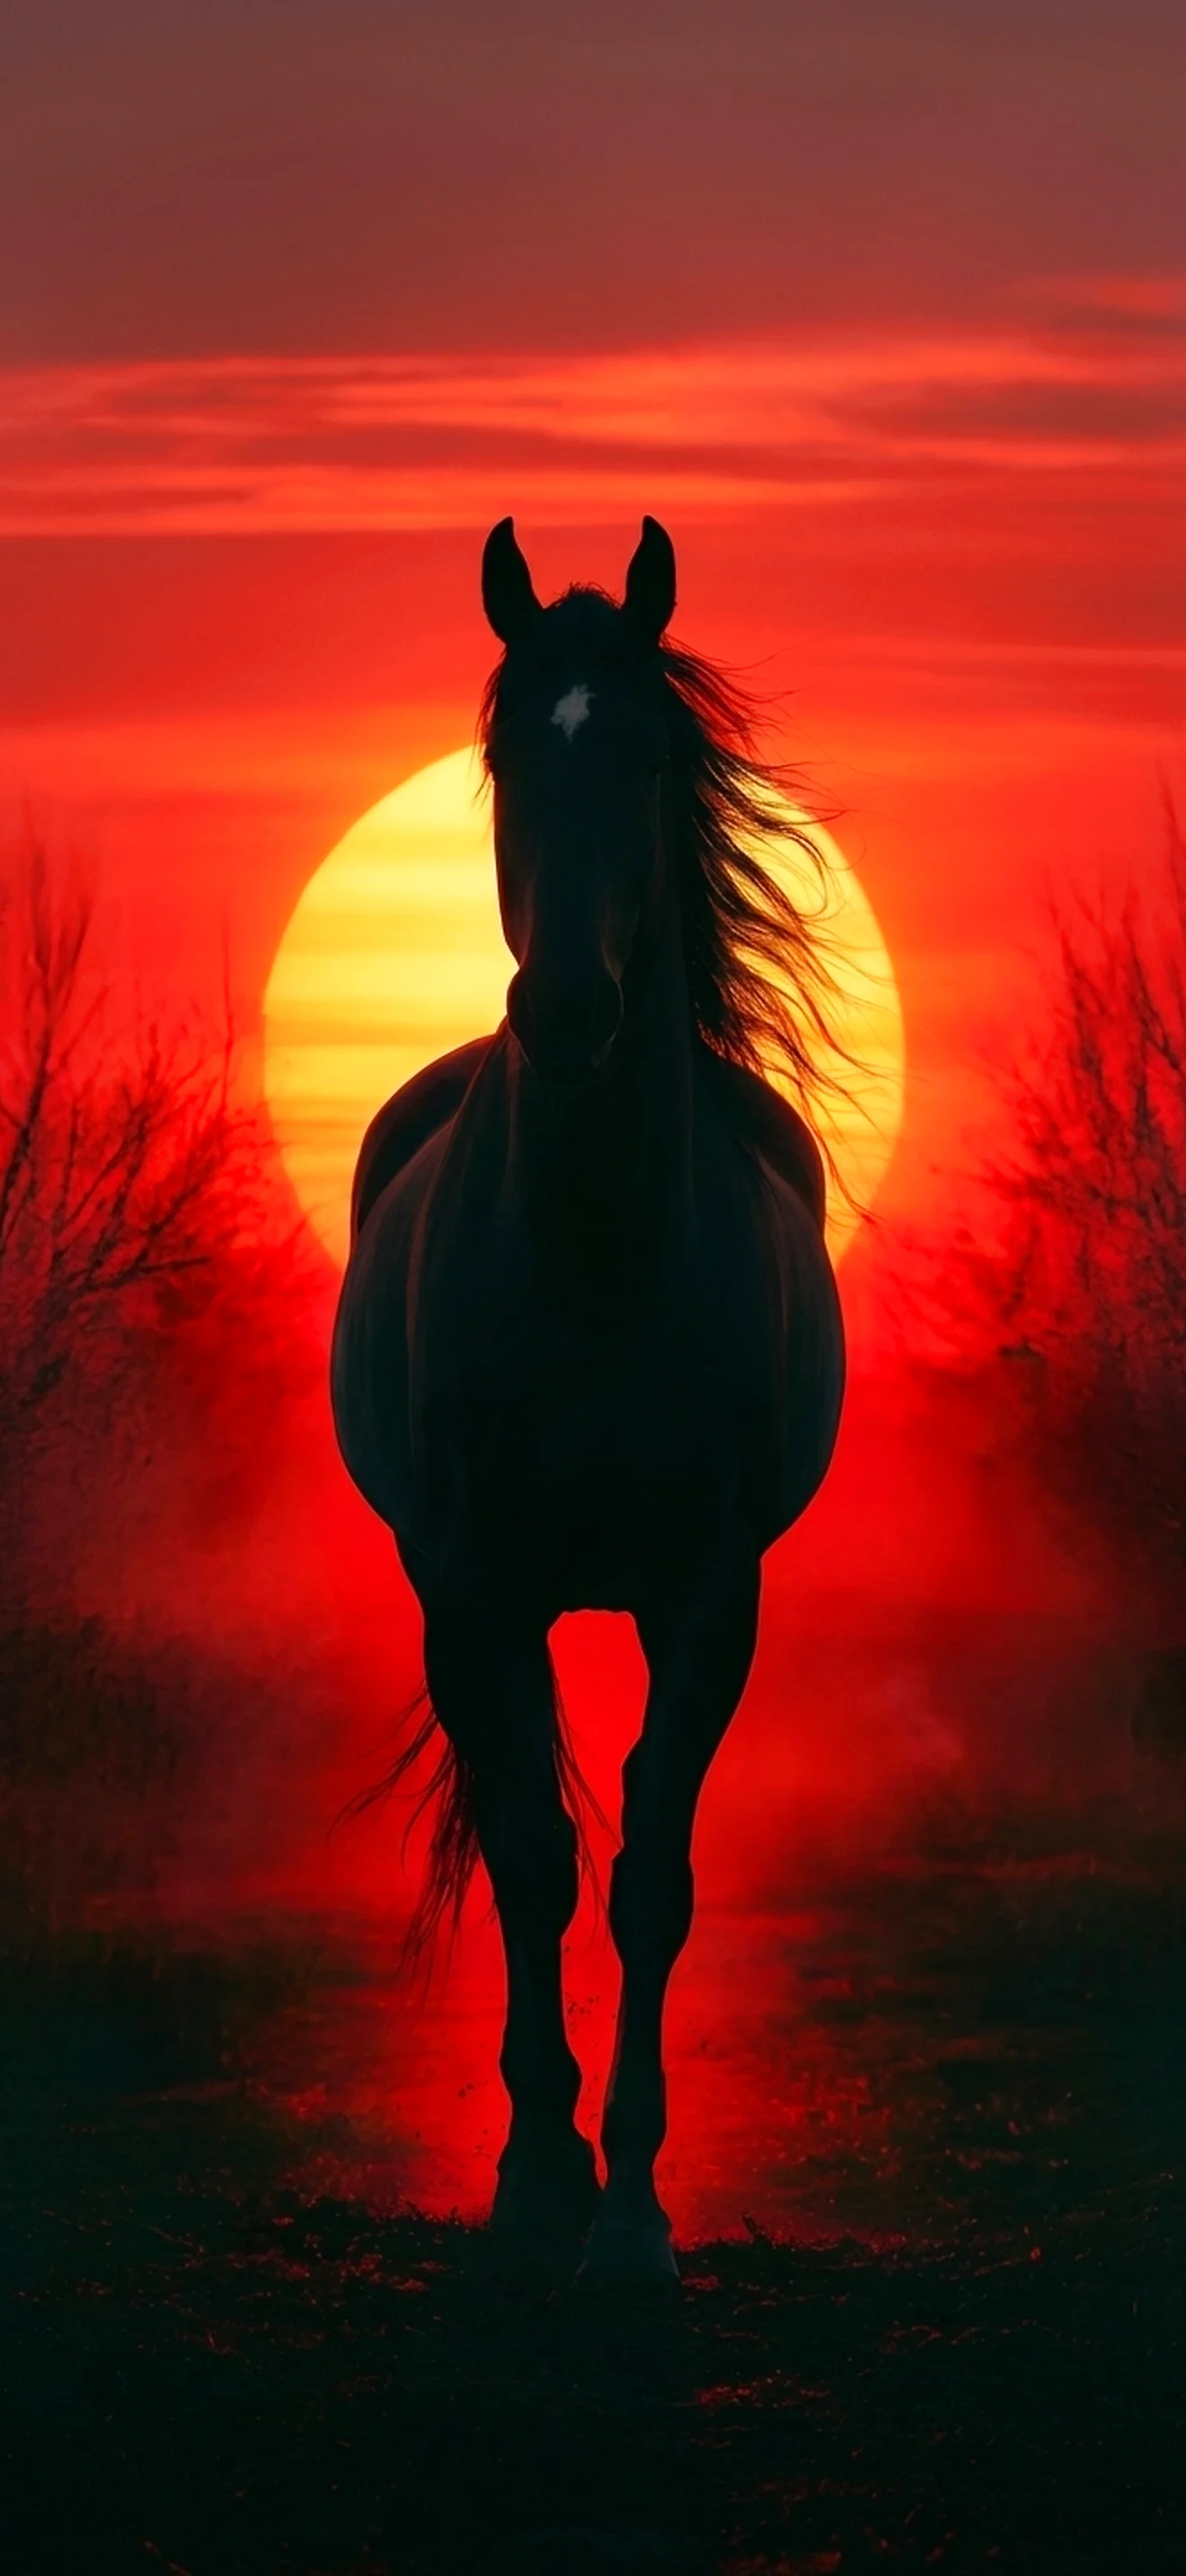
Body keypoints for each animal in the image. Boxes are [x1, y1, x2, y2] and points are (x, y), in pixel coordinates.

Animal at [330, 516, 846, 2278]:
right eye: (506, 755)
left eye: (641, 753)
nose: (564, 1017)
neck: (603, 1251)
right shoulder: (480, 1586)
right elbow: (536, 1867)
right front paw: (541, 2178)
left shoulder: (711, 1595)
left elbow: (649, 1879)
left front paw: (631, 2206)